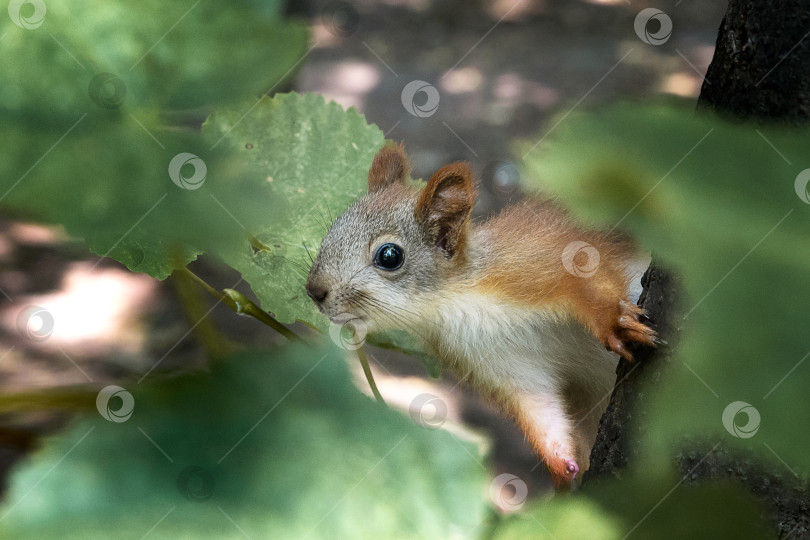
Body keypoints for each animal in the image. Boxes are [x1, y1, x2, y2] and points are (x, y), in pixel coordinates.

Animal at [306, 144, 652, 490]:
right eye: (333, 229)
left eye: (390, 256)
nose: (314, 290)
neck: (456, 304)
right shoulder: (502, 365)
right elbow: (538, 408)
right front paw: (562, 466)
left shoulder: (544, 261)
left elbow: (593, 284)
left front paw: (616, 323)